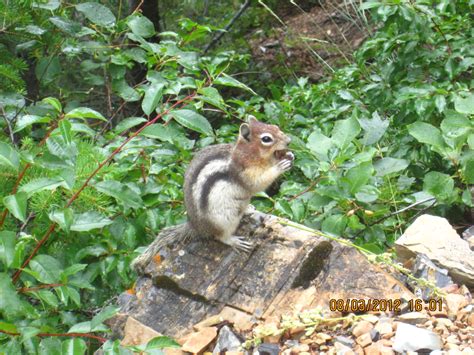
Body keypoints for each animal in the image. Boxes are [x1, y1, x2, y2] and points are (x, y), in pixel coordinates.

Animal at [131, 117, 290, 270]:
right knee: (220, 236)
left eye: (276, 127)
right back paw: (234, 241)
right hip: (224, 220)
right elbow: (257, 184)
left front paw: (289, 156)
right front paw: (280, 166)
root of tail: (195, 226)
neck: (246, 153)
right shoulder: (243, 172)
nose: (289, 141)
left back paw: (248, 209)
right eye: (266, 139)